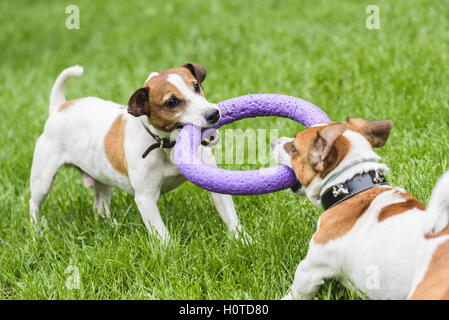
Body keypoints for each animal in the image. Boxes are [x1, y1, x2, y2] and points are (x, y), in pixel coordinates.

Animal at [30, 63, 245, 241]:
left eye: (196, 86)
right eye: (172, 102)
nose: (214, 113)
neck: (165, 146)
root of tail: (60, 107)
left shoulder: (213, 181)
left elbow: (230, 215)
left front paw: (243, 240)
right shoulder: (145, 198)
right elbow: (160, 232)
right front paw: (170, 252)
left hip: (103, 179)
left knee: (100, 205)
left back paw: (113, 225)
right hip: (43, 179)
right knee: (34, 203)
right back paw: (37, 232)